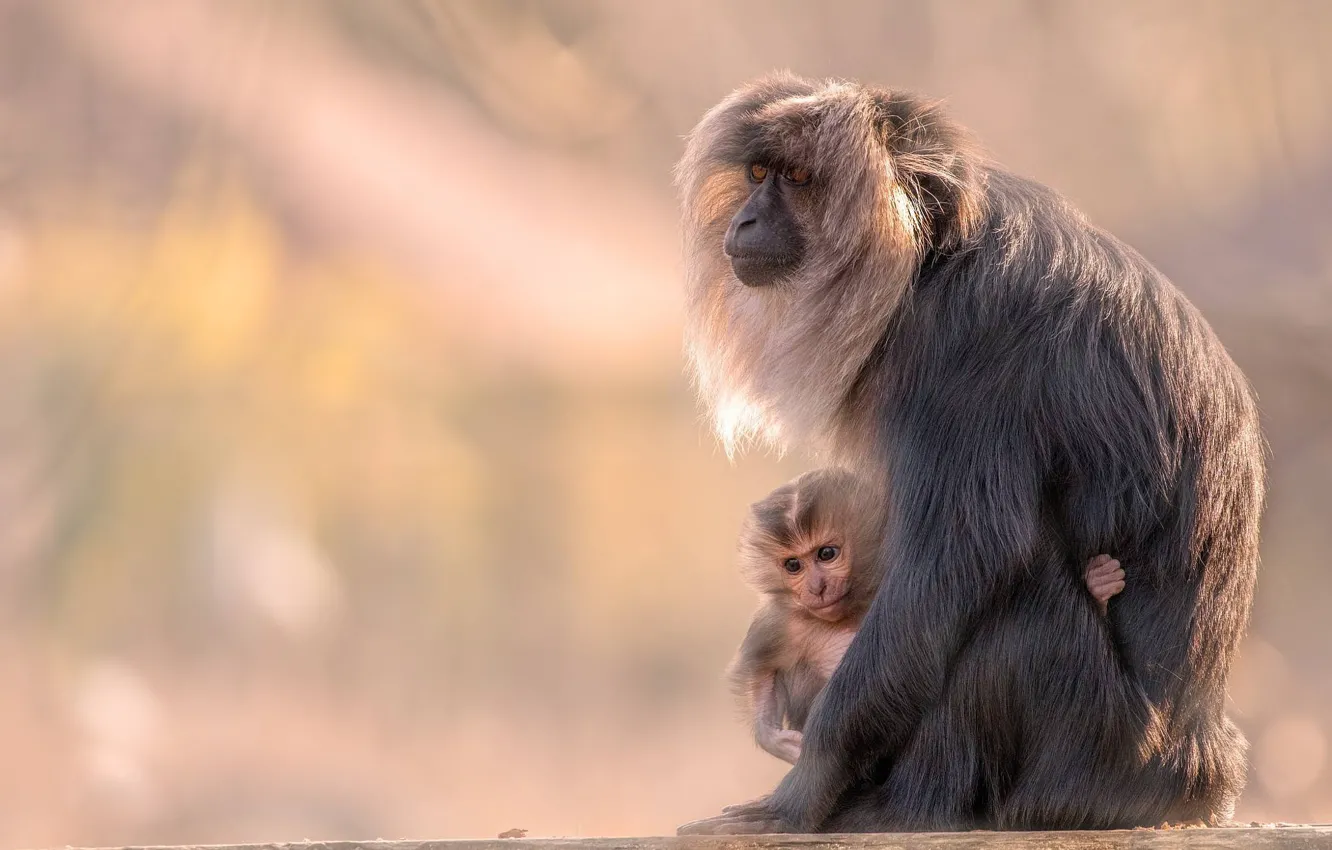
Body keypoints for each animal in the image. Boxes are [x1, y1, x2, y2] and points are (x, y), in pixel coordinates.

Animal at [731, 469, 1127, 766]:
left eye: (826, 554)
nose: (816, 588)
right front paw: (775, 740)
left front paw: (1097, 586)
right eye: (793, 566)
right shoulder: (782, 623)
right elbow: (759, 671)